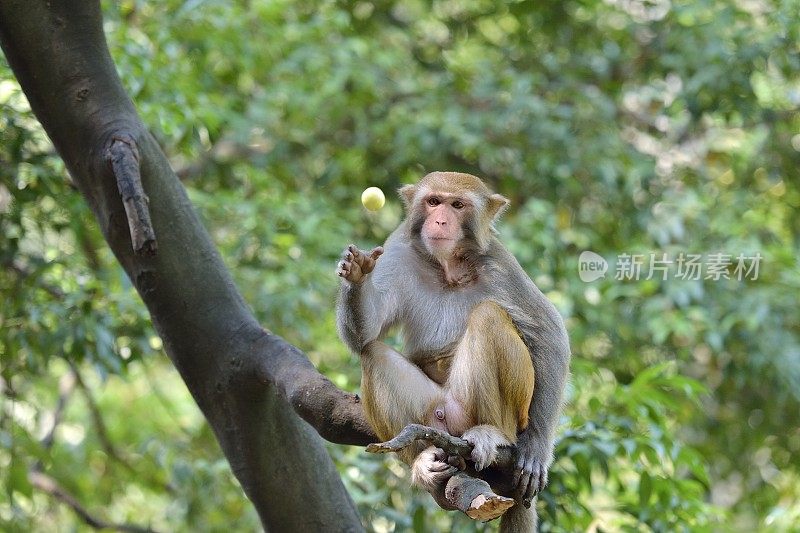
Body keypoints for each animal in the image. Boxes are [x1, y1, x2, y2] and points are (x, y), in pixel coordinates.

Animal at [334, 172, 572, 528]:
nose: (441, 220)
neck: (449, 265)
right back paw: (423, 462)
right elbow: (365, 336)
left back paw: (492, 434)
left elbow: (549, 335)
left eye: (458, 205)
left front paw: (536, 449)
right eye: (434, 201)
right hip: (435, 415)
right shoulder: (398, 251)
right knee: (373, 354)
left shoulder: (501, 265)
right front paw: (358, 274)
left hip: (502, 414)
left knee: (488, 316)